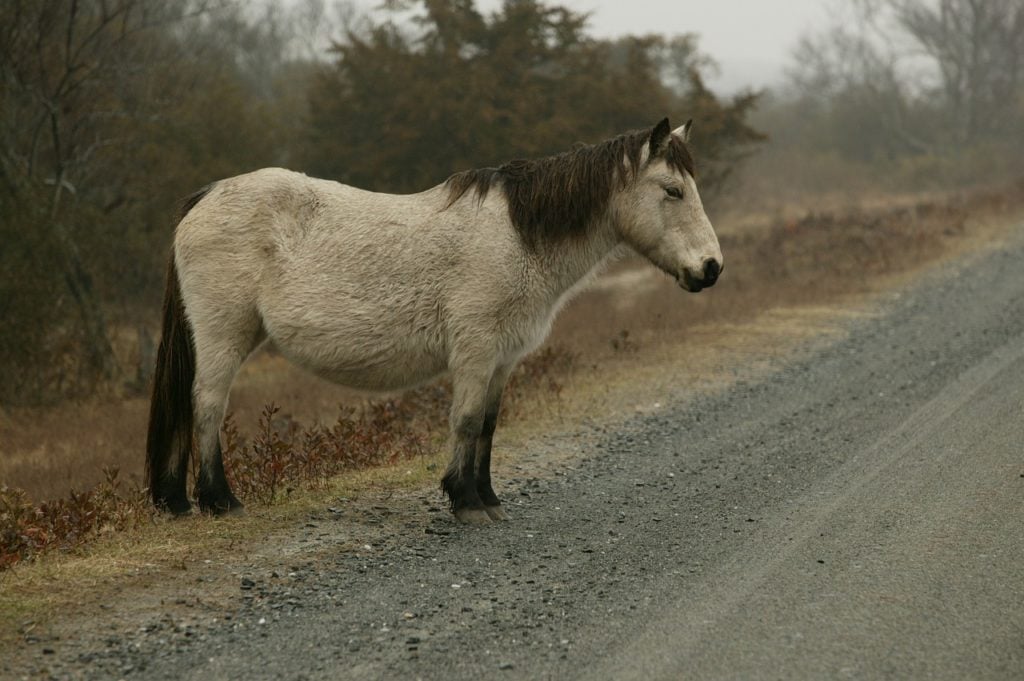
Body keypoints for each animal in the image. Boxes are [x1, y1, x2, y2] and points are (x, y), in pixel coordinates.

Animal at [146, 116, 720, 522]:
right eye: (672, 190)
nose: (711, 268)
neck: (519, 237)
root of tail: (205, 197)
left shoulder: (502, 360)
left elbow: (487, 424)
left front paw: (487, 497)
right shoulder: (475, 350)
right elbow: (464, 420)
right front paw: (464, 501)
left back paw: (178, 499)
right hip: (223, 334)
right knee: (207, 406)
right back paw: (219, 500)